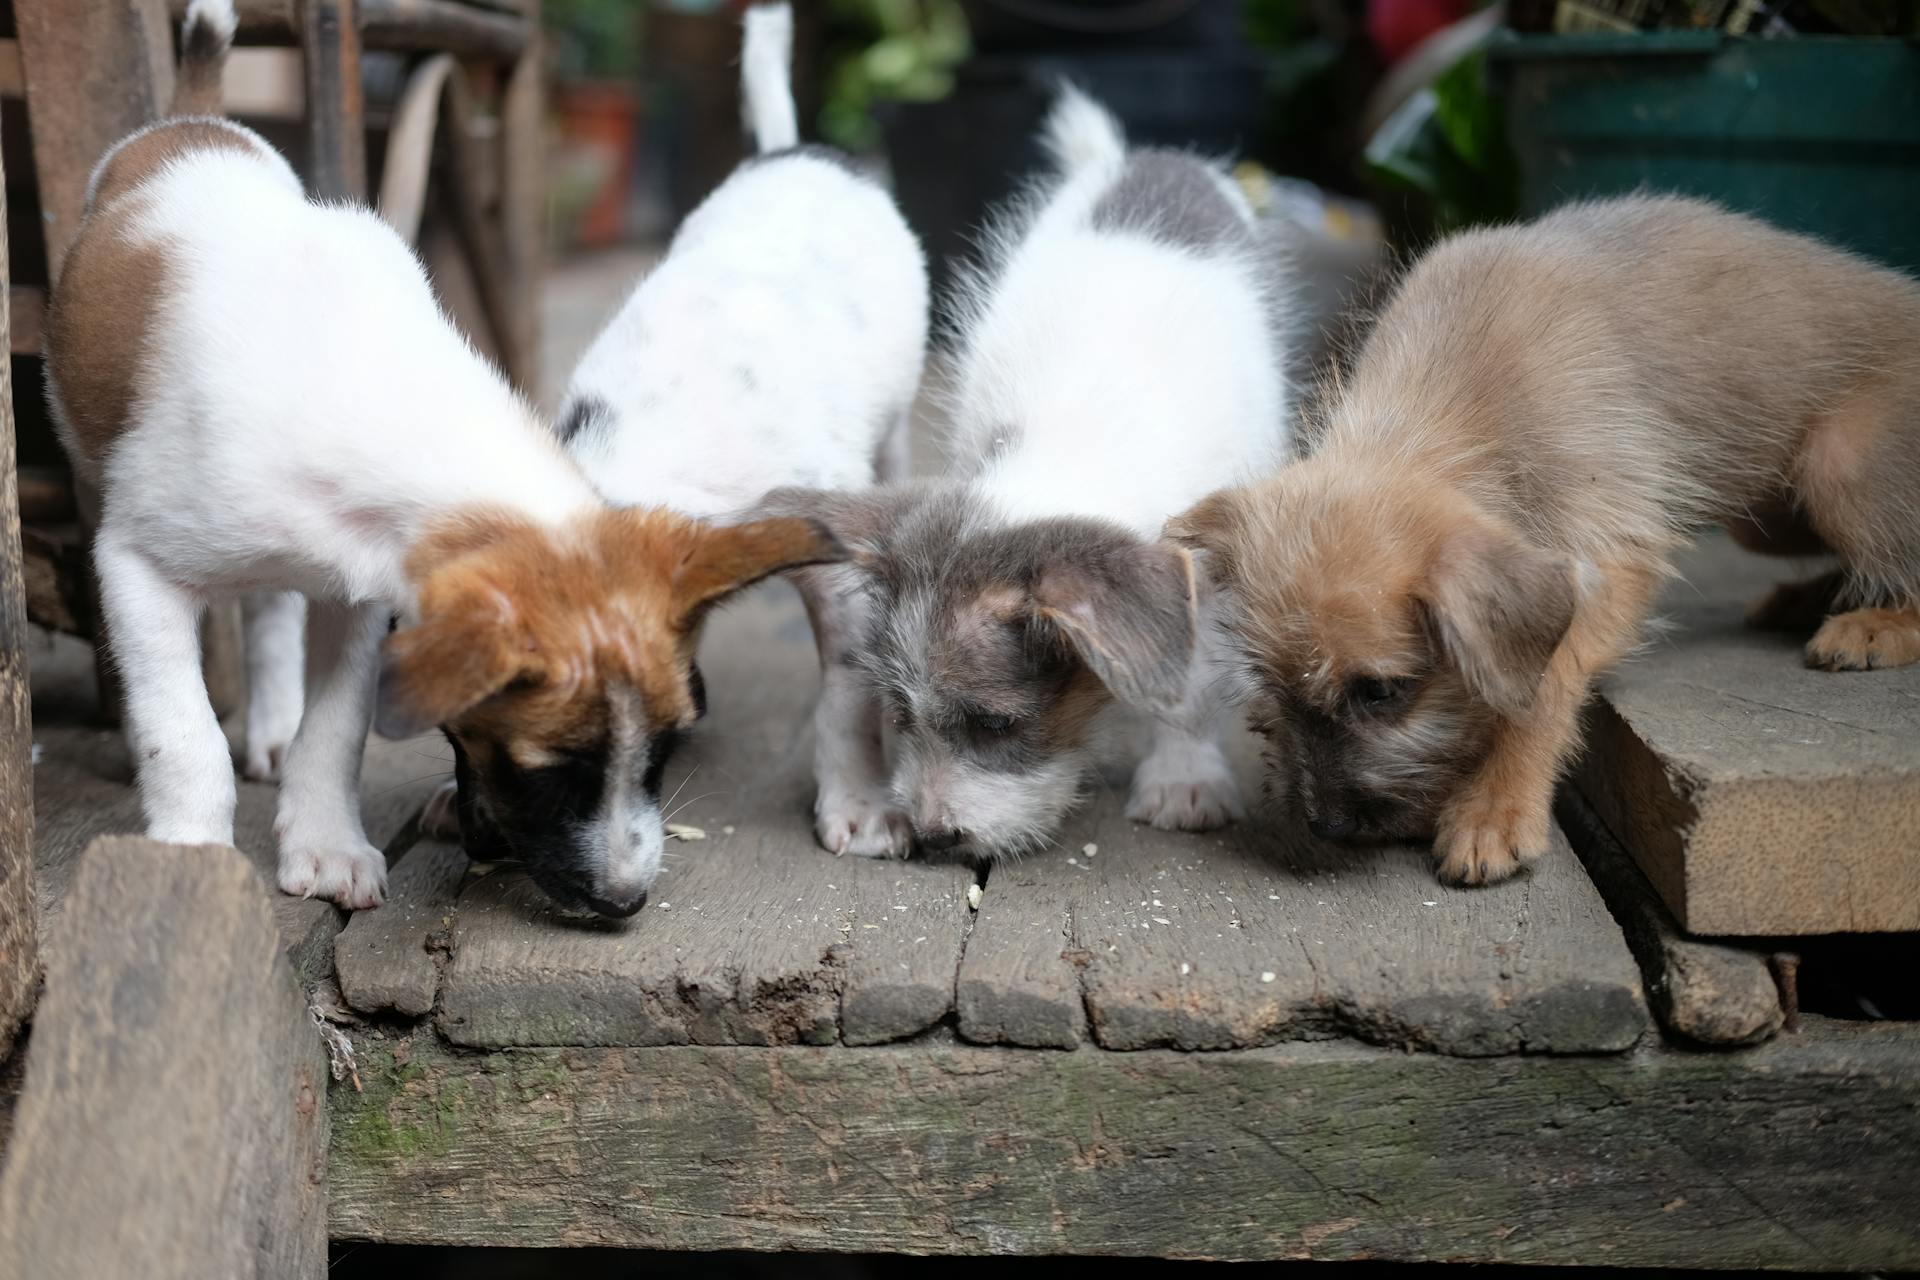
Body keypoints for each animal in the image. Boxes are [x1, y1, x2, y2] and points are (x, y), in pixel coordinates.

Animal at [48, 2, 833, 921]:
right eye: (547, 773)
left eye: (668, 747)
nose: (626, 902)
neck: (374, 384)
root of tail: (191, 124)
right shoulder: (136, 567)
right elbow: (184, 733)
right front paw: (193, 865)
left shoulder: (359, 593)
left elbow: (336, 729)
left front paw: (324, 842)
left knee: (271, 609)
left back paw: (272, 724)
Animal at [1175, 195, 1920, 886]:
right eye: (1270, 683)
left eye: (1381, 692)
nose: (1324, 827)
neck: (1444, 413)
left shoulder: (1608, 557)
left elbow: (1540, 687)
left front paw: (1495, 807)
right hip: (1767, 507)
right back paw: (1808, 600)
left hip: (1836, 467)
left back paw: (1875, 624)